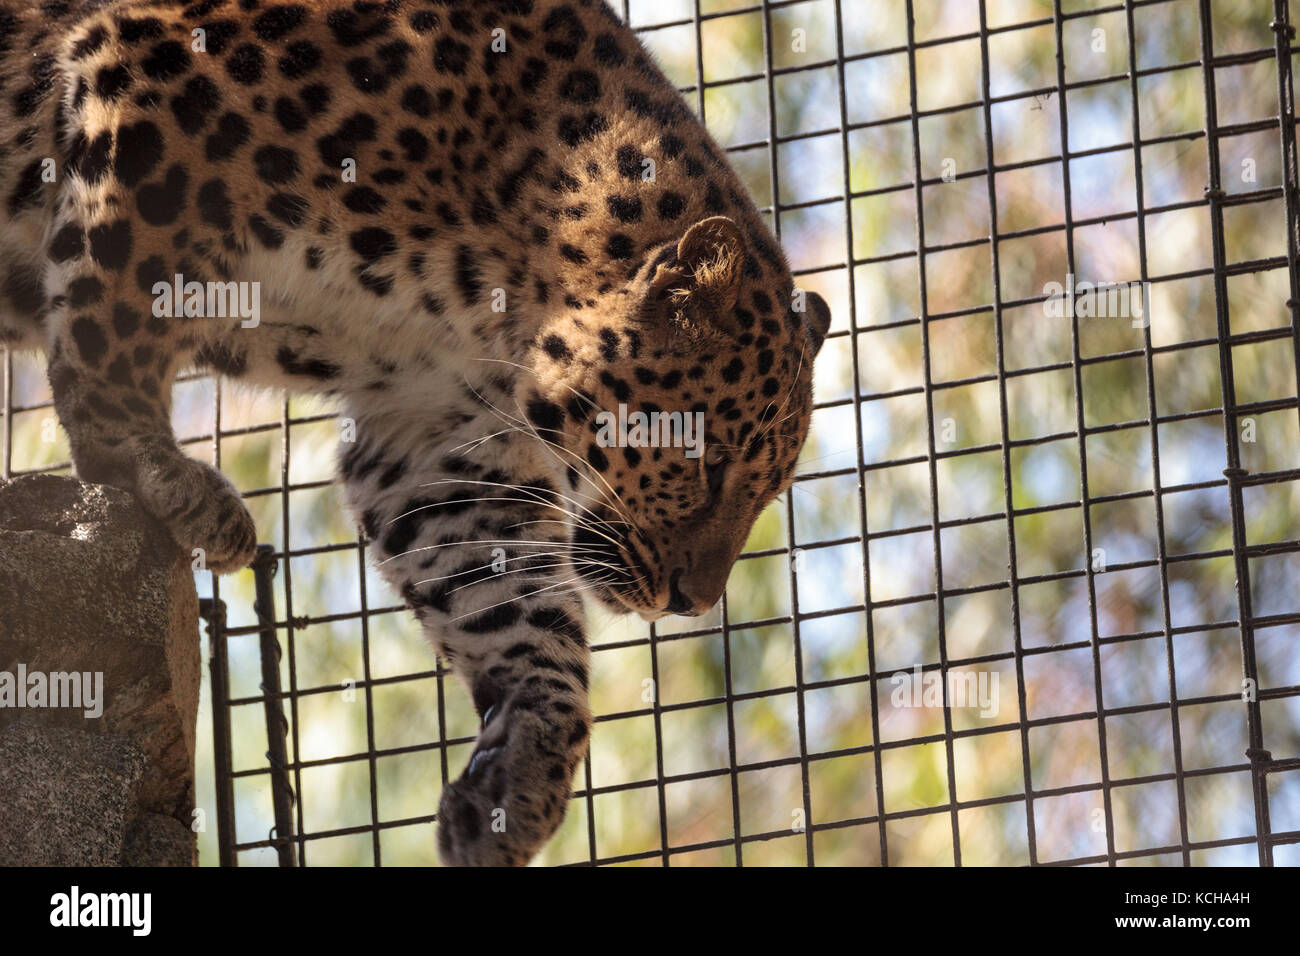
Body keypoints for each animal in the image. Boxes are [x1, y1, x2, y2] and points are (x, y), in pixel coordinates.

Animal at [0, 0, 832, 865]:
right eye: (709, 462)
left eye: (763, 492)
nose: (692, 603)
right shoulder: (149, 85)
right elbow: (113, 300)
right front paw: (149, 467)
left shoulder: (432, 429)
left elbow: (504, 602)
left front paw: (516, 784)